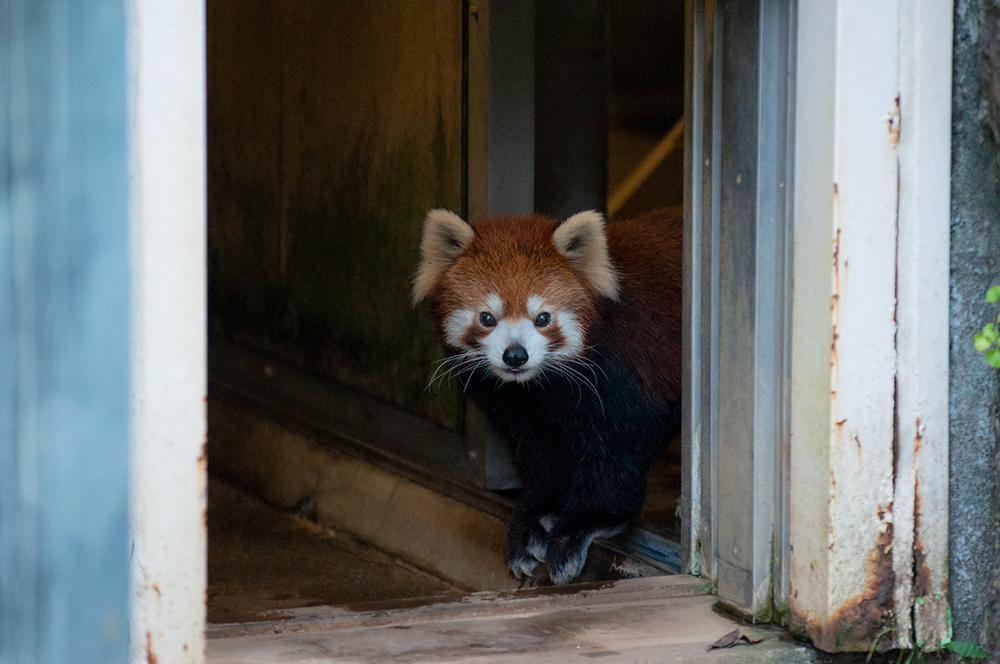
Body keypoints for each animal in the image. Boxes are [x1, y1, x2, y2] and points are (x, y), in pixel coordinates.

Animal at [410, 206, 684, 580]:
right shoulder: (520, 410)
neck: (542, 388)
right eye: (487, 318)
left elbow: (616, 457)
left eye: (542, 318)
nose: (515, 355)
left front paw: (584, 524)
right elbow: (541, 457)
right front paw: (533, 520)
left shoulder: (625, 382)